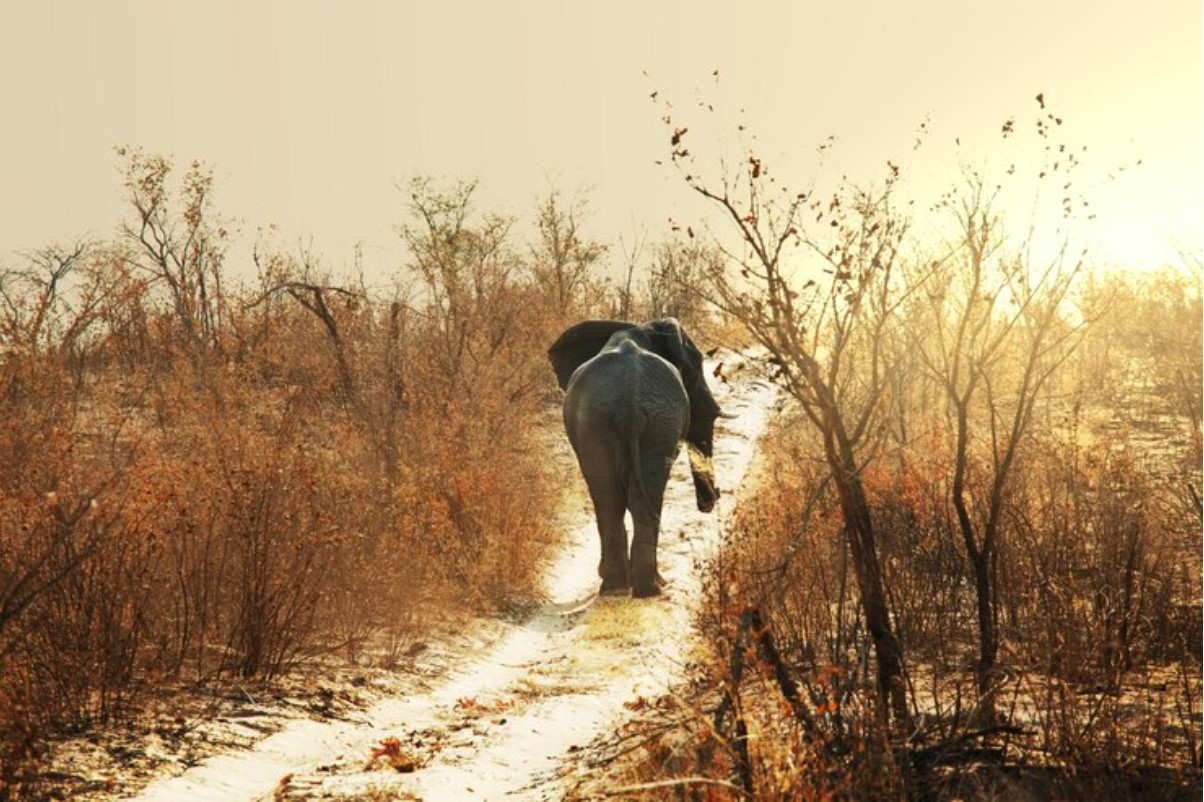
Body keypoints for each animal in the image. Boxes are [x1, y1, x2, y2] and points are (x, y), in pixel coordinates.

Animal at [548, 318, 727, 598]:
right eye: (697, 364)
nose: (715, 496)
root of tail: (629, 401)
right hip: (642, 421)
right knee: (631, 498)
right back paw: (645, 587)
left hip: (621, 423)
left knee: (614, 497)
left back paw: (622, 587)